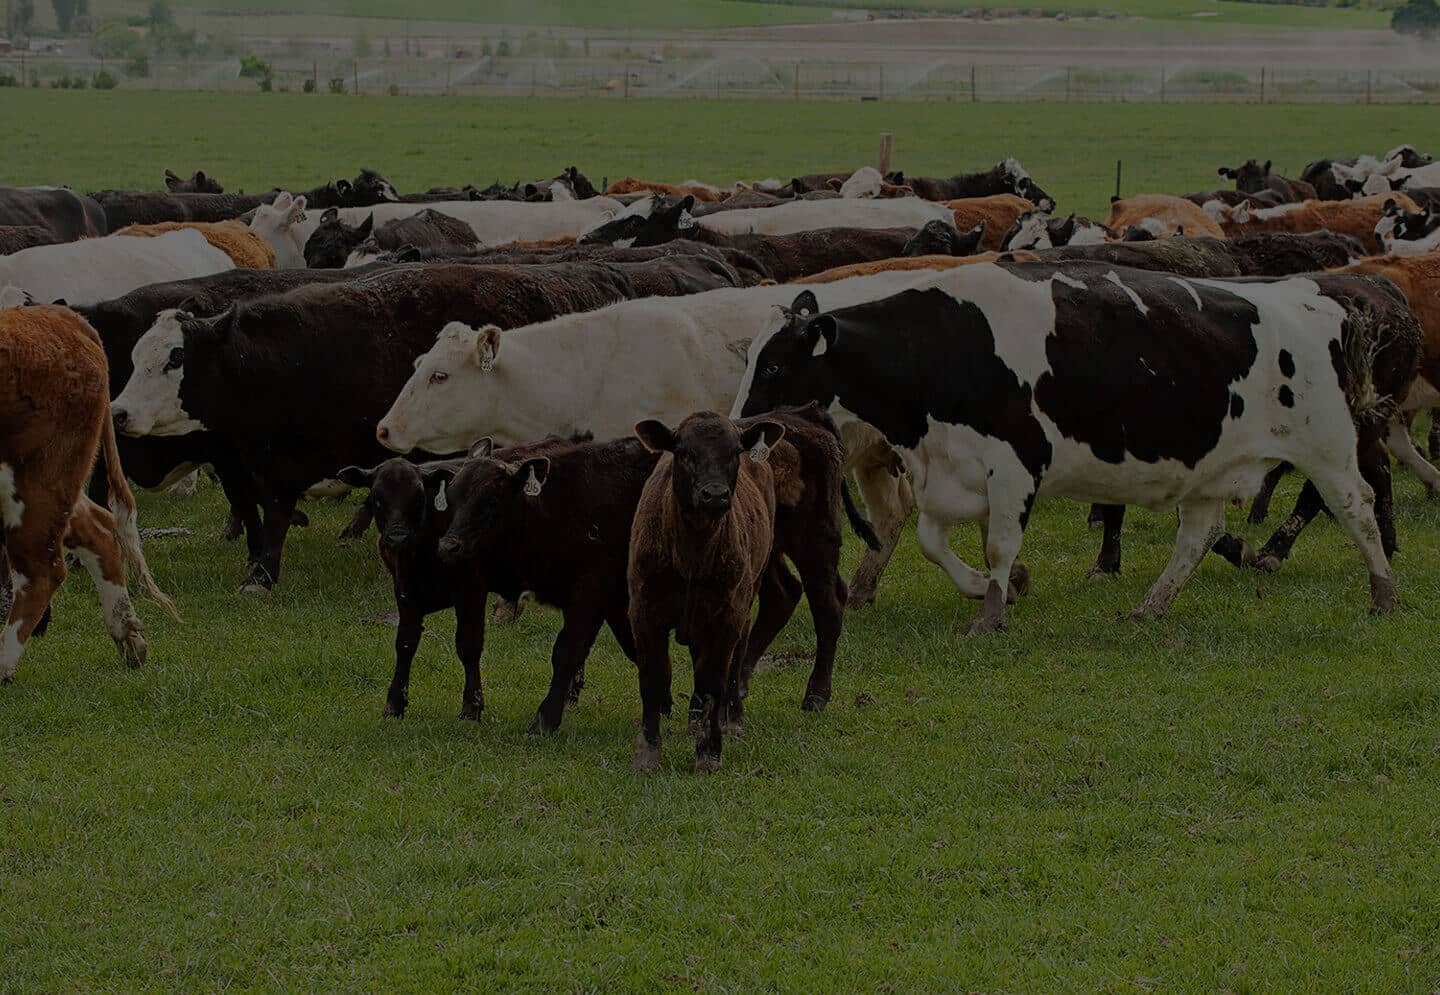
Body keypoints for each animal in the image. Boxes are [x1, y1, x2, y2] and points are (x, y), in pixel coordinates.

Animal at [0, 303, 178, 683]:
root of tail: (60, 316)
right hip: (57, 483)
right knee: (99, 531)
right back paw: (127, 633)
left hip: (37, 480)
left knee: (43, 570)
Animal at [110, 263, 639, 590]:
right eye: (135, 357)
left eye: (175, 358)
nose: (119, 412)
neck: (275, 364)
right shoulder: (249, 460)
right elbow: (260, 508)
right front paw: (259, 564)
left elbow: (275, 511)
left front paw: (261, 576)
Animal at [629, 412, 783, 773]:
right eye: (685, 452)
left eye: (735, 452)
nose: (715, 495)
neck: (691, 556)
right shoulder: (643, 611)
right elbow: (653, 679)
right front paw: (648, 753)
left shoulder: (727, 615)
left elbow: (714, 680)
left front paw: (709, 752)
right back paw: (694, 719)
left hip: (747, 595)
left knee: (735, 659)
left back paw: (731, 719)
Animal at [732, 264, 1402, 633]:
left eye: (774, 366)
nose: (742, 426)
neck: (942, 347)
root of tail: (1319, 301)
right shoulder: (948, 470)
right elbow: (930, 541)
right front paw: (994, 587)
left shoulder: (1016, 464)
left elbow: (999, 543)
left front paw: (990, 611)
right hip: (1210, 469)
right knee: (1198, 536)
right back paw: (1150, 608)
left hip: (1327, 449)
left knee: (1358, 509)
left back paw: (1384, 594)